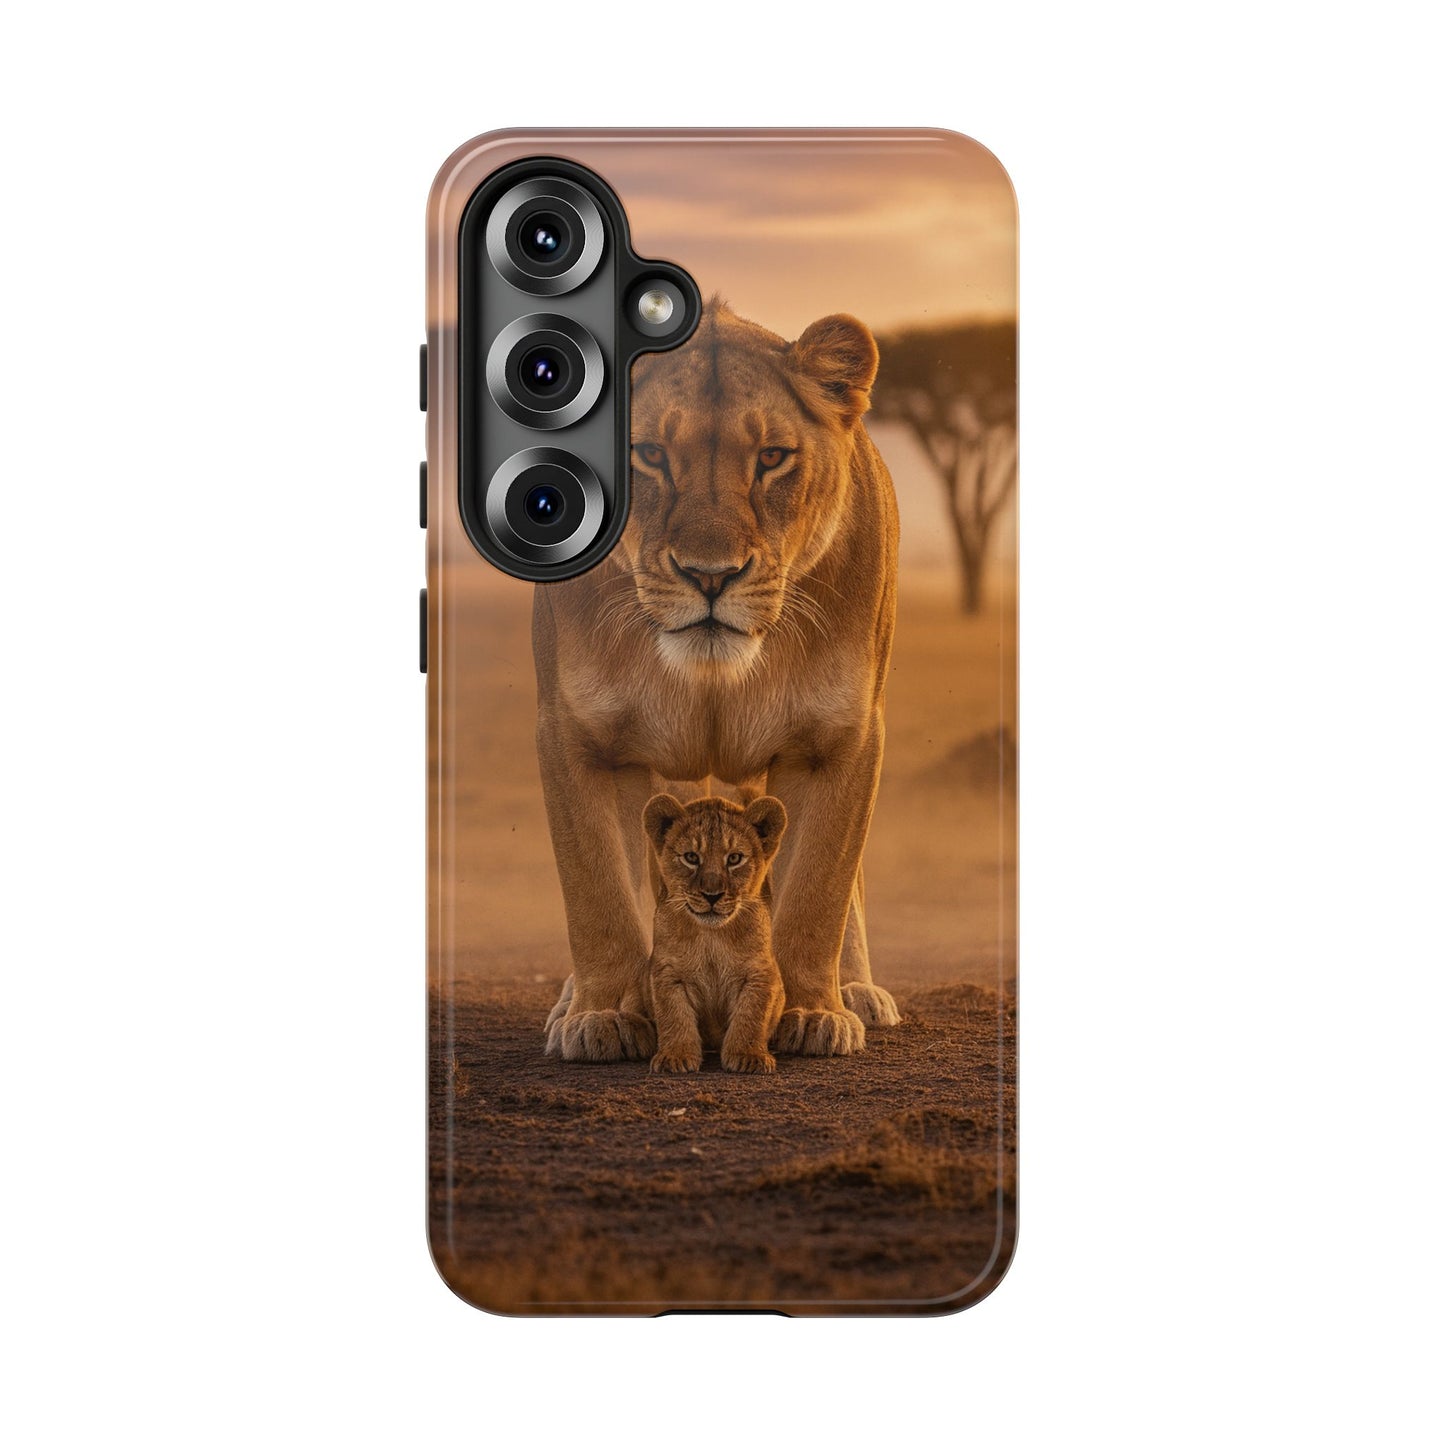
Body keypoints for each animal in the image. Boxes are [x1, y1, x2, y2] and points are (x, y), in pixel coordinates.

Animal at [642, 793, 788, 1075]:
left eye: (734, 859)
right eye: (691, 857)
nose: (712, 895)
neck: (712, 937)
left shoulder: (759, 972)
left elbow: (751, 1015)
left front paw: (748, 1056)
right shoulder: (667, 973)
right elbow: (673, 1015)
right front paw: (675, 1056)